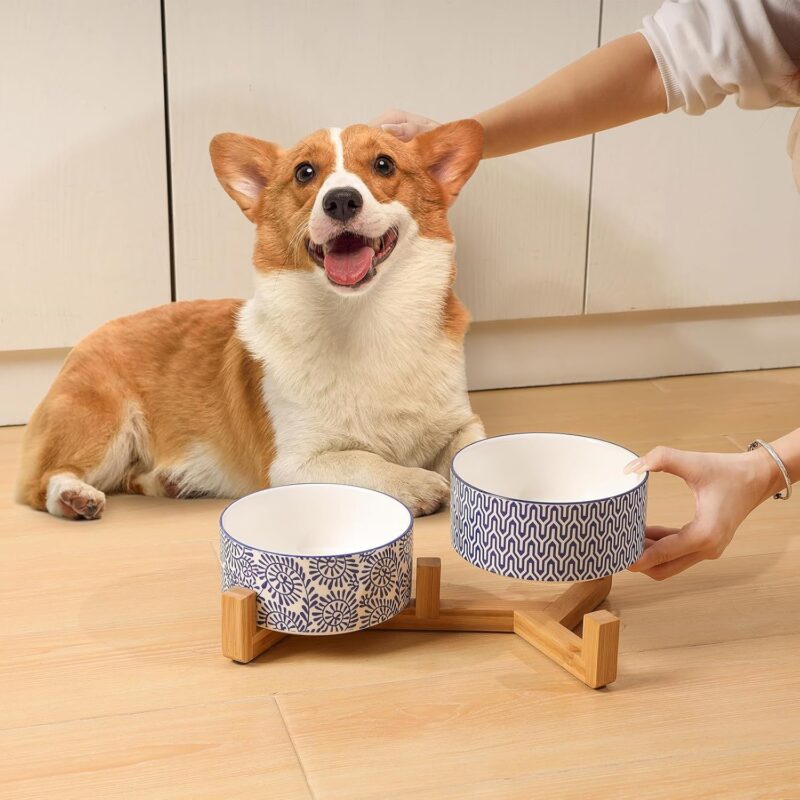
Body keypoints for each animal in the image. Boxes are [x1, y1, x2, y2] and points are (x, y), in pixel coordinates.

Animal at [15, 119, 484, 520]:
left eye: (384, 164)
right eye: (304, 172)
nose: (340, 200)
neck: (365, 317)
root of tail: (87, 338)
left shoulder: (459, 423)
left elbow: (472, 445)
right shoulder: (294, 463)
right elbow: (364, 460)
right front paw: (415, 482)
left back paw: (170, 482)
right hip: (104, 424)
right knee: (41, 483)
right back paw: (74, 497)